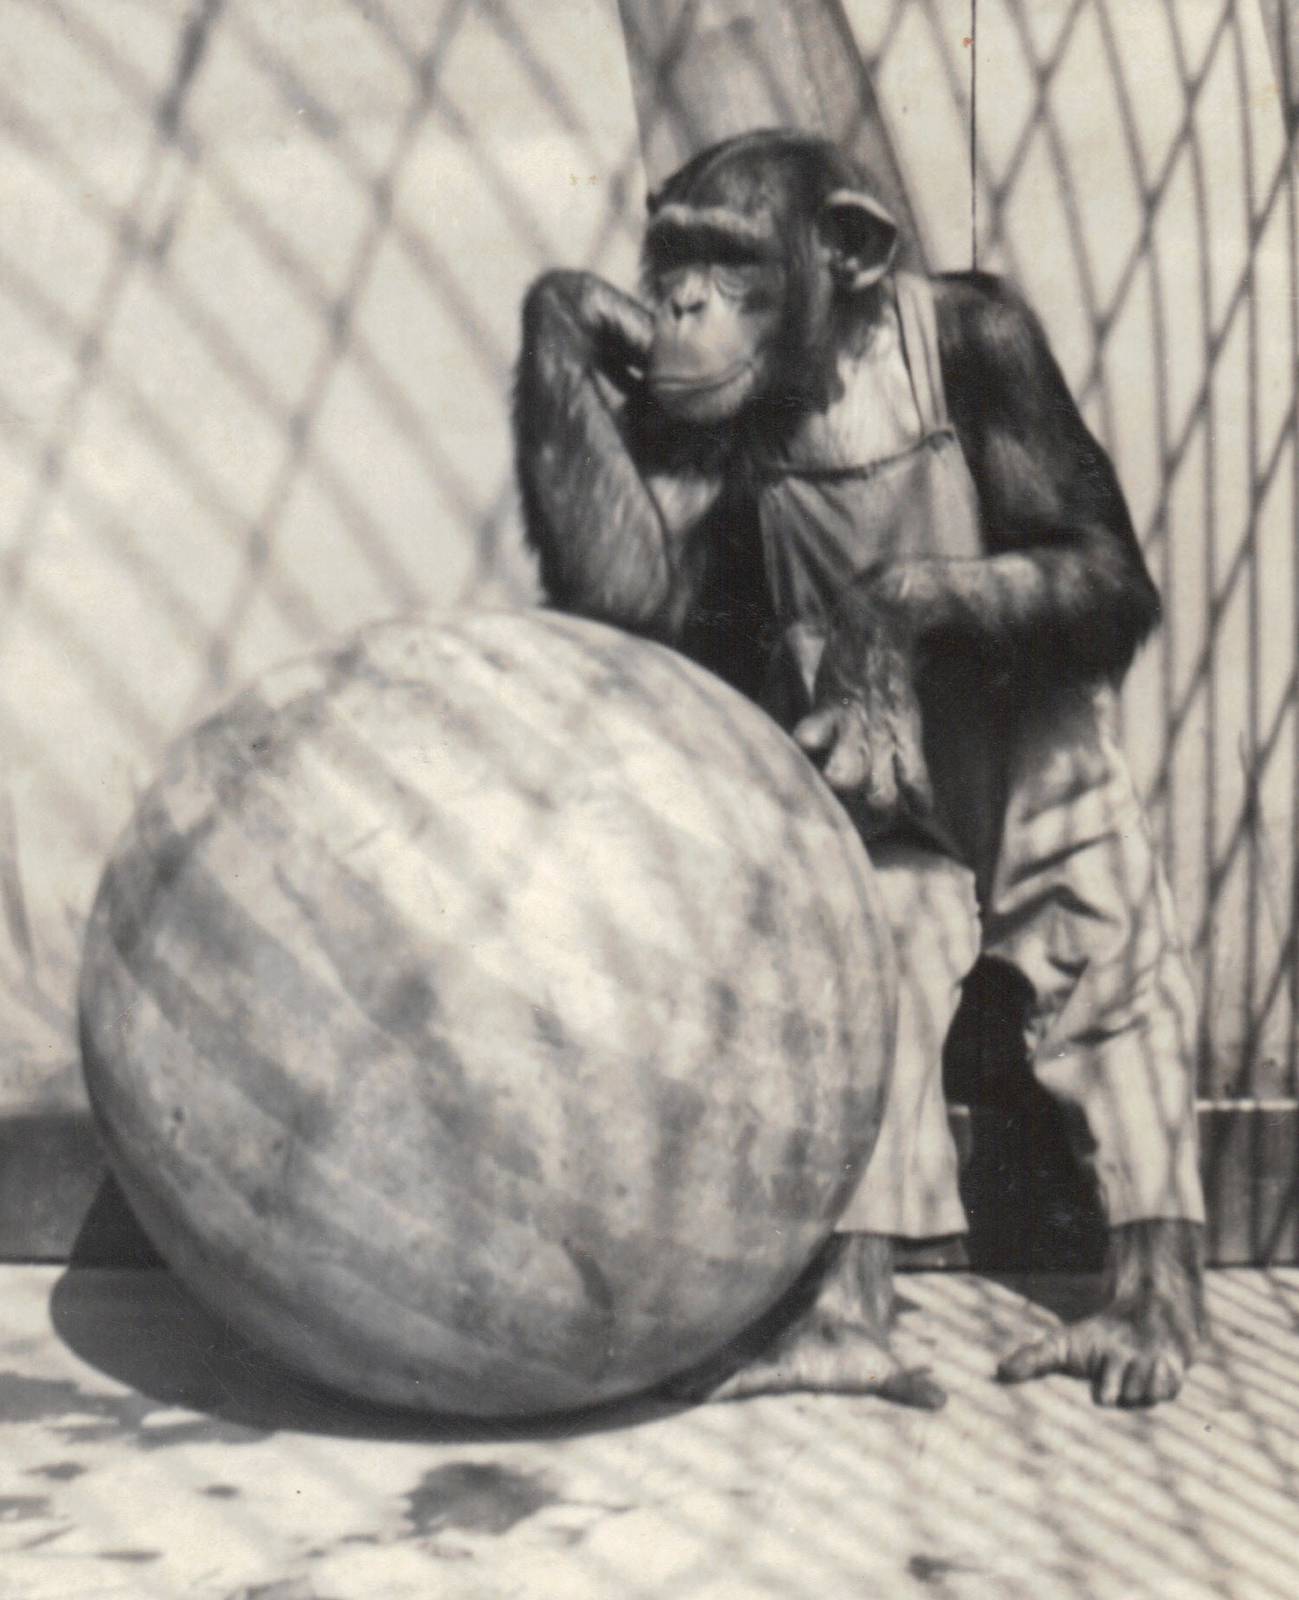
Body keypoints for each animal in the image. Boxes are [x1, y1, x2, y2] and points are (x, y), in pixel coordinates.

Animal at [514, 128, 1207, 1409]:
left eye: (733, 255)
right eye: (671, 250)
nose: (678, 303)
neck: (833, 371)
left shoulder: (999, 342)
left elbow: (1093, 556)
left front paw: (877, 631)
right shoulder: (685, 427)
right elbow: (642, 600)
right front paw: (580, 312)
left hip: (1061, 791)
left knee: (1108, 979)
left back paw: (1146, 1305)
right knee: (880, 976)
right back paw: (839, 1334)